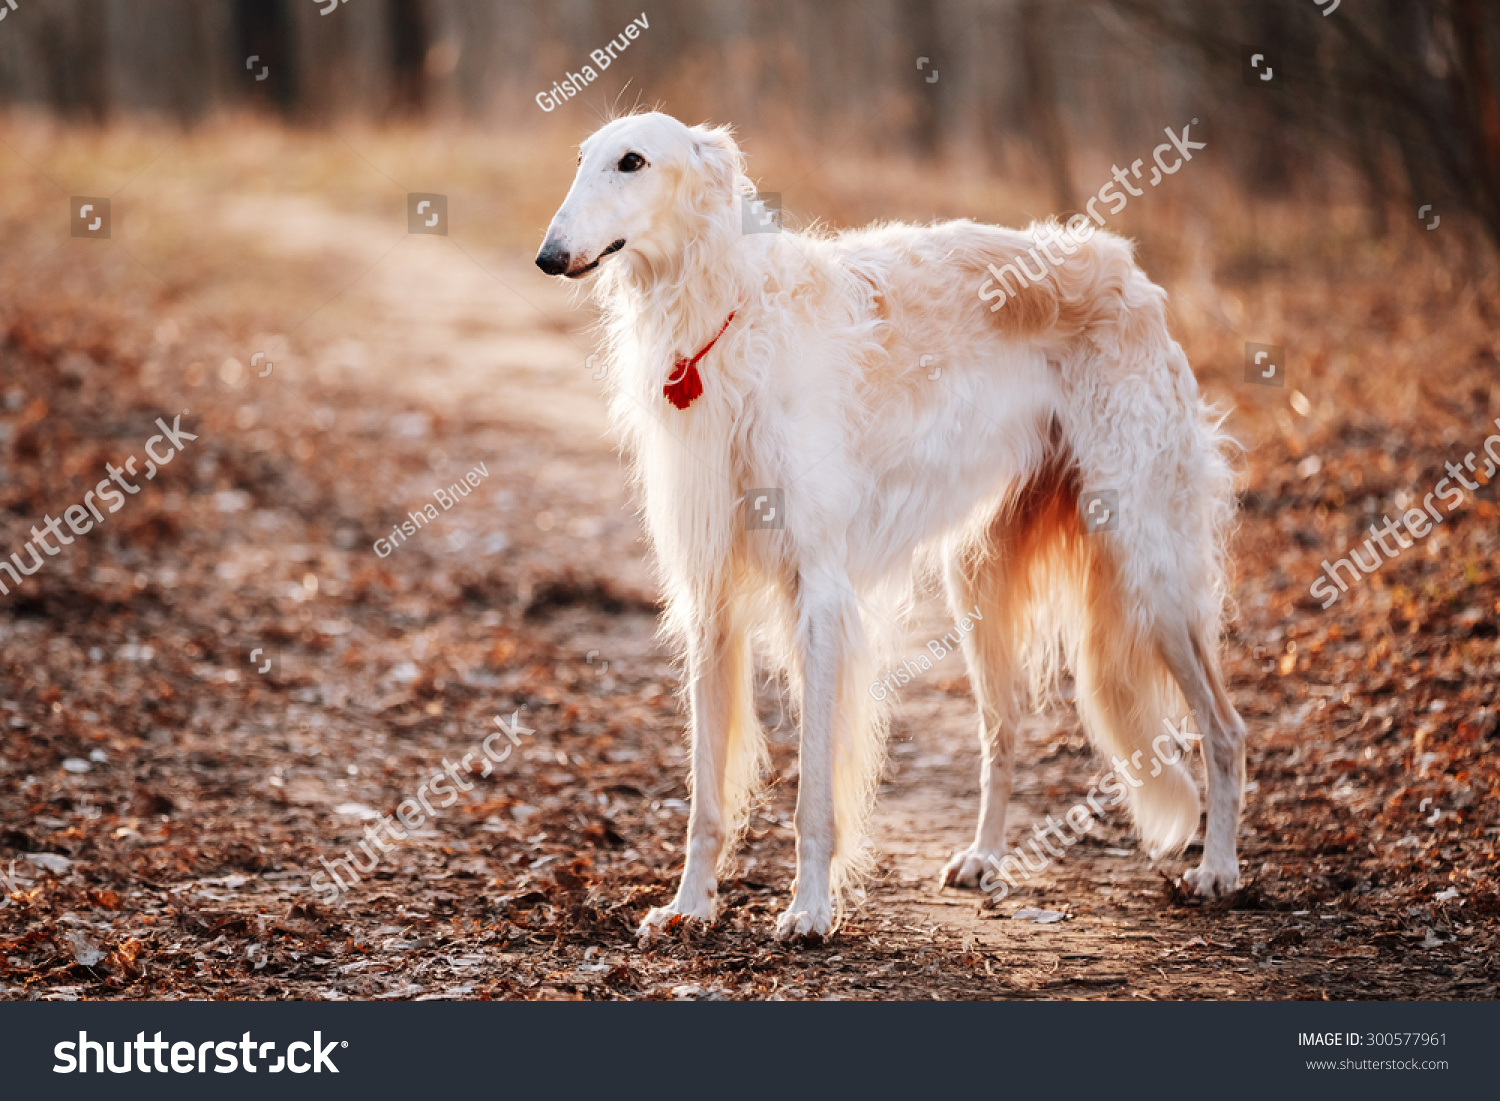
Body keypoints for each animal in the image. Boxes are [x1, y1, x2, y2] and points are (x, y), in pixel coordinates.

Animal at [537, 112, 1242, 942]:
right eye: (582, 159)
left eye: (633, 161)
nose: (549, 256)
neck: (728, 315)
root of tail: (1132, 273)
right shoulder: (710, 595)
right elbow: (706, 797)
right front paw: (688, 906)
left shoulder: (820, 592)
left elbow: (813, 794)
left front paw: (809, 909)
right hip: (980, 582)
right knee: (1004, 734)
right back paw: (985, 857)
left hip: (1146, 563)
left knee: (1226, 727)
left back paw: (1219, 868)